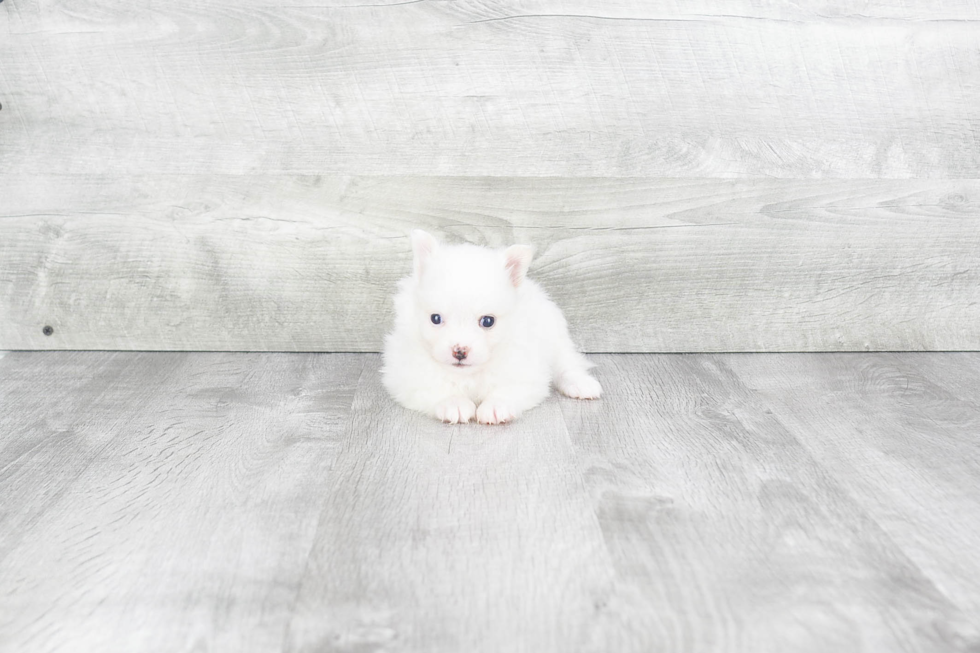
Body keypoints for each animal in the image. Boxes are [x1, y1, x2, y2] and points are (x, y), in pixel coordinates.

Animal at [380, 229, 596, 422]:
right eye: (435, 318)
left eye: (487, 321)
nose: (460, 351)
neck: (470, 374)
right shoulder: (406, 375)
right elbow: (435, 387)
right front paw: (453, 403)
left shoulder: (525, 371)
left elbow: (508, 389)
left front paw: (496, 407)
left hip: (554, 337)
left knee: (567, 364)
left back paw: (581, 384)